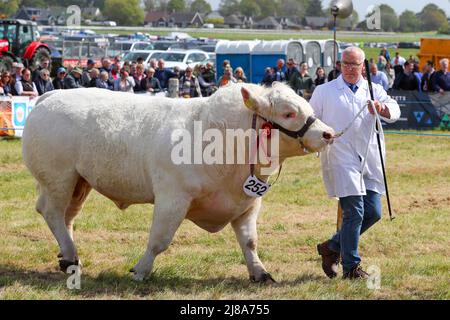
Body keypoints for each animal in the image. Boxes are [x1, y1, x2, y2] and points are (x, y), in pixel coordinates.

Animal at [22, 83, 334, 282]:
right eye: (288, 113)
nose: (329, 133)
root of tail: (51, 96)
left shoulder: (247, 203)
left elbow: (250, 241)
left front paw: (260, 272)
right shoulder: (172, 199)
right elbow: (159, 240)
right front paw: (140, 271)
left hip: (79, 182)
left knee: (67, 217)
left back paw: (67, 257)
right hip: (59, 178)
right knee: (52, 212)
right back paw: (71, 255)